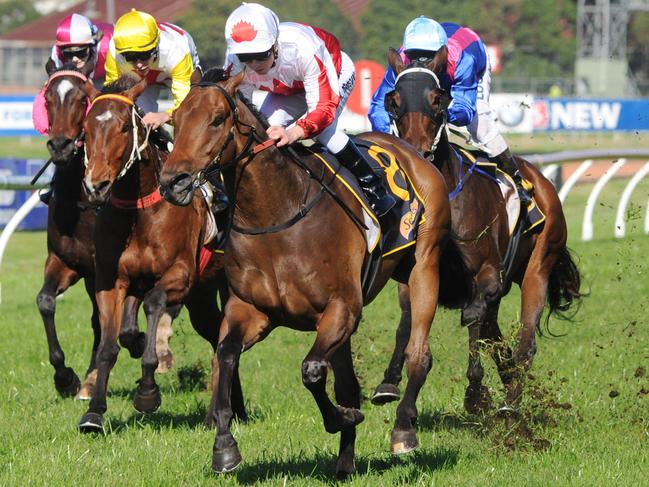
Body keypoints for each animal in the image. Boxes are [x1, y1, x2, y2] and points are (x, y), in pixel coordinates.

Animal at [38, 63, 146, 400]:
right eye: (47, 98)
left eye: (80, 100)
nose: (60, 146)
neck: (82, 205)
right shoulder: (64, 261)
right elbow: (45, 302)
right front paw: (65, 377)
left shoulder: (110, 267)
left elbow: (117, 323)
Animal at [78, 76, 246, 434]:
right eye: (86, 128)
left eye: (123, 128)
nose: (96, 185)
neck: (139, 211)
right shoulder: (111, 280)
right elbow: (111, 344)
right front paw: (94, 412)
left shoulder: (180, 275)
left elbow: (155, 303)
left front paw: (147, 392)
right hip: (201, 298)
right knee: (216, 334)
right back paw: (233, 407)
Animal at [157, 70, 450, 478]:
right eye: (176, 118)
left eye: (216, 120)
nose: (173, 182)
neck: (277, 212)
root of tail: (411, 151)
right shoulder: (251, 310)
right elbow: (225, 356)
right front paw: (225, 448)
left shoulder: (341, 309)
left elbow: (311, 370)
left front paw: (342, 418)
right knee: (348, 382)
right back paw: (345, 464)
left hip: (424, 267)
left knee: (419, 354)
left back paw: (403, 430)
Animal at [374, 48, 584, 416]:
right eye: (394, 101)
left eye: (437, 100)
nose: (416, 155)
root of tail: (543, 181)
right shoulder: (415, 273)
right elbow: (408, 319)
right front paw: (388, 381)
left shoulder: (487, 274)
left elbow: (472, 316)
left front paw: (475, 392)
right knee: (495, 336)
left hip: (538, 267)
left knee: (524, 342)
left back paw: (510, 404)